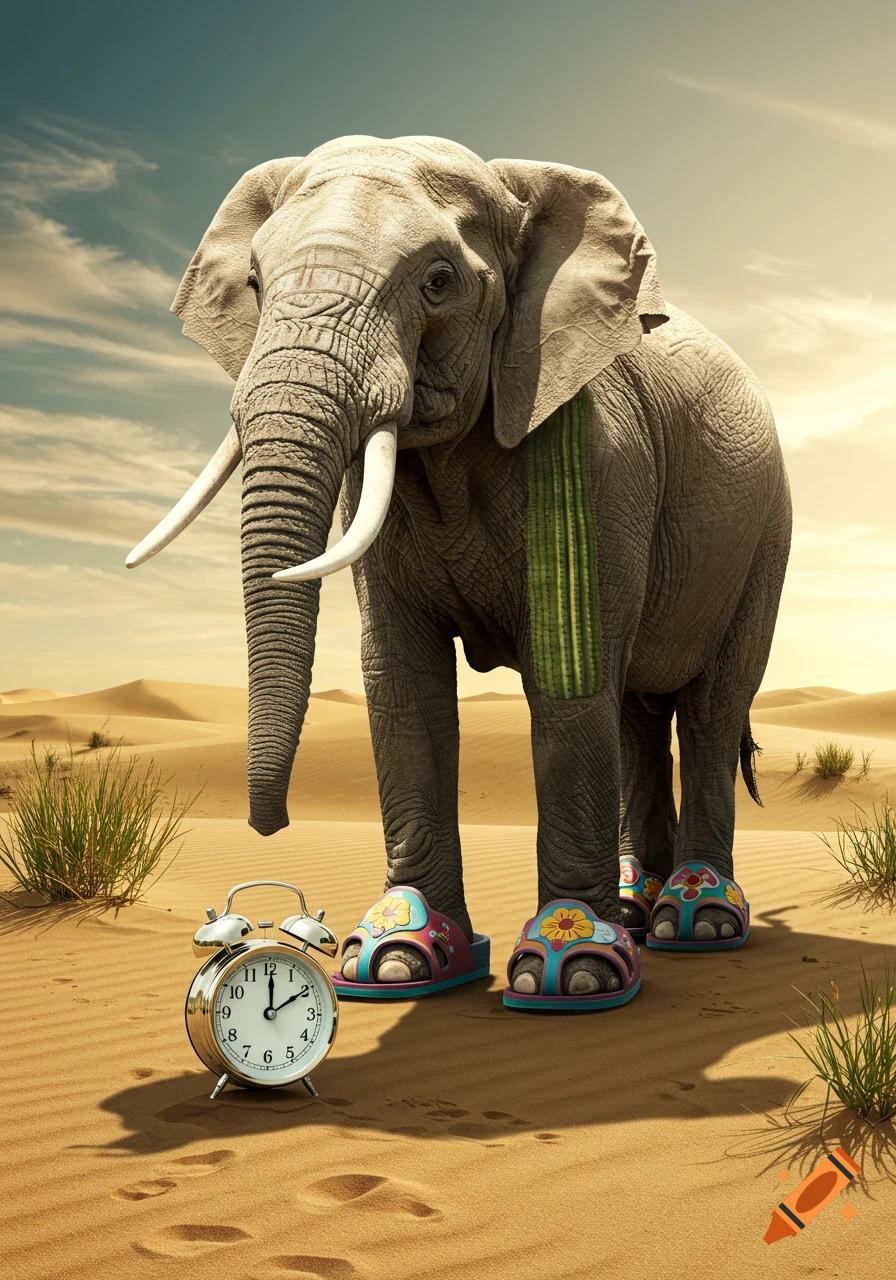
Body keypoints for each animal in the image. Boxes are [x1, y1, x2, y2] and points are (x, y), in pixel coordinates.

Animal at [127, 134, 791, 1007]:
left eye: (438, 281)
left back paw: (699, 922)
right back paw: (637, 907)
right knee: (635, 717)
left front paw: (572, 973)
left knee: (710, 707)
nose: (269, 823)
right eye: (256, 285)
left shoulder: (601, 462)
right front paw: (396, 962)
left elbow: (568, 681)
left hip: (766, 533)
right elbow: (401, 685)